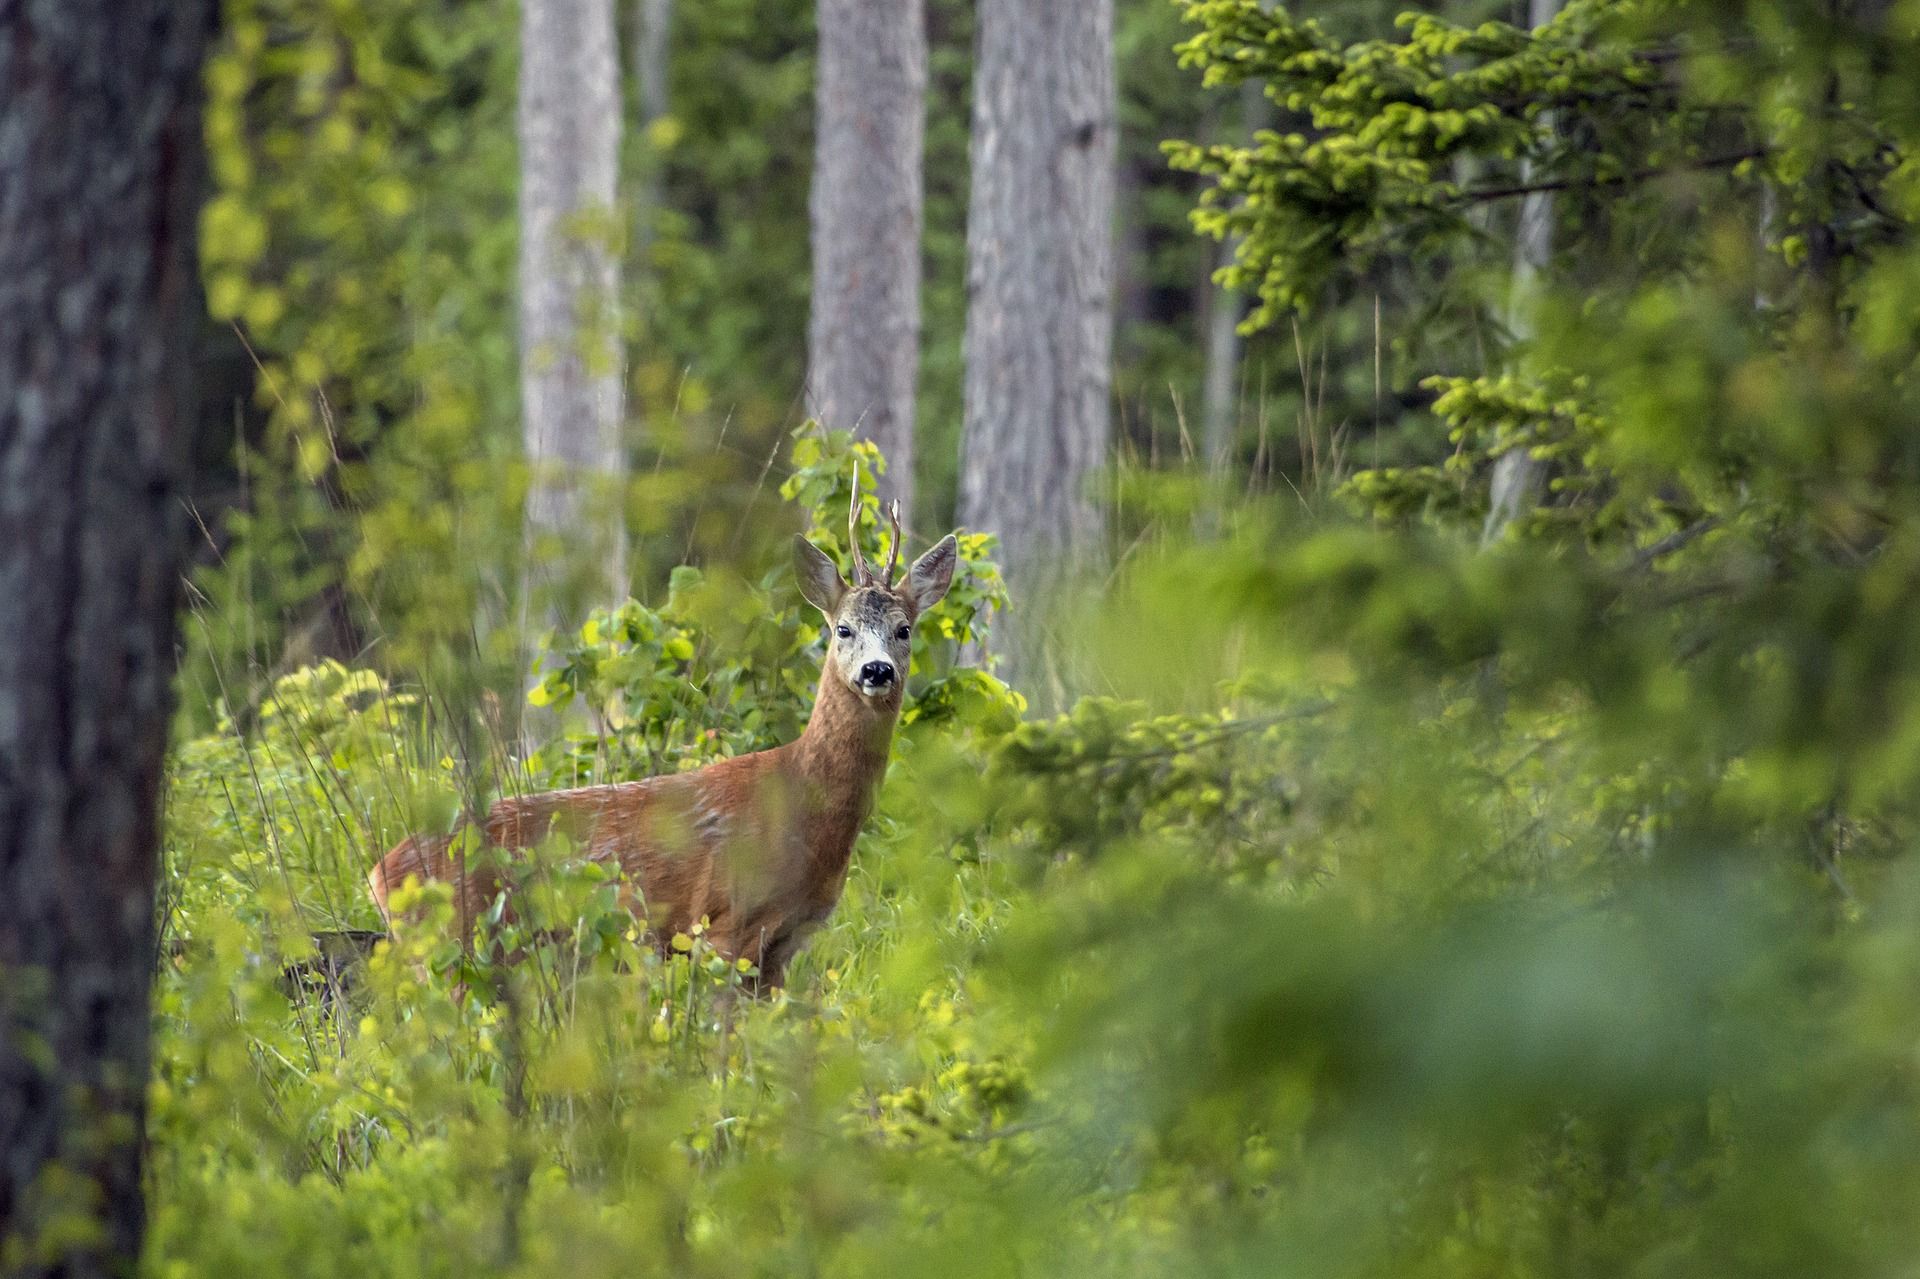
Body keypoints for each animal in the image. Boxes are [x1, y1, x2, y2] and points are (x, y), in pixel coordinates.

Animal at [364, 476, 952, 983]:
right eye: (843, 629)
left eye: (904, 629)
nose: (877, 671)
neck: (804, 805)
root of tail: (380, 873)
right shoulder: (725, 924)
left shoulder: (785, 944)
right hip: (457, 947)